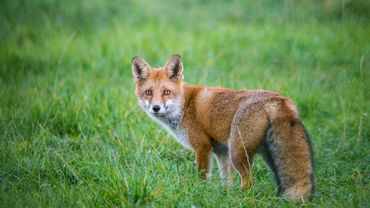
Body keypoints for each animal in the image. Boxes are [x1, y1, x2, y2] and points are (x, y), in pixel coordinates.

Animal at [132, 54, 314, 202]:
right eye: (148, 92)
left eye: (166, 92)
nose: (156, 108)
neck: (185, 105)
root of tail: (278, 99)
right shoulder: (221, 151)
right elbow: (226, 180)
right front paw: (225, 195)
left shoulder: (203, 147)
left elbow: (203, 176)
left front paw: (201, 192)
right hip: (267, 156)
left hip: (238, 153)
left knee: (249, 182)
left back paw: (242, 199)